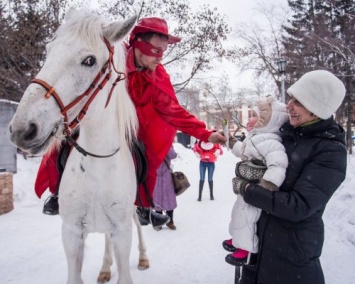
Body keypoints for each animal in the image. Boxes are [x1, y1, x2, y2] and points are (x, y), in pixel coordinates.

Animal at [8, 8, 149, 284]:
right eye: (49, 50)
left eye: (89, 61)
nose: (22, 129)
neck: (97, 166)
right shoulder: (72, 234)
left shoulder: (122, 232)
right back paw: (105, 267)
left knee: (138, 223)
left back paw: (142, 256)